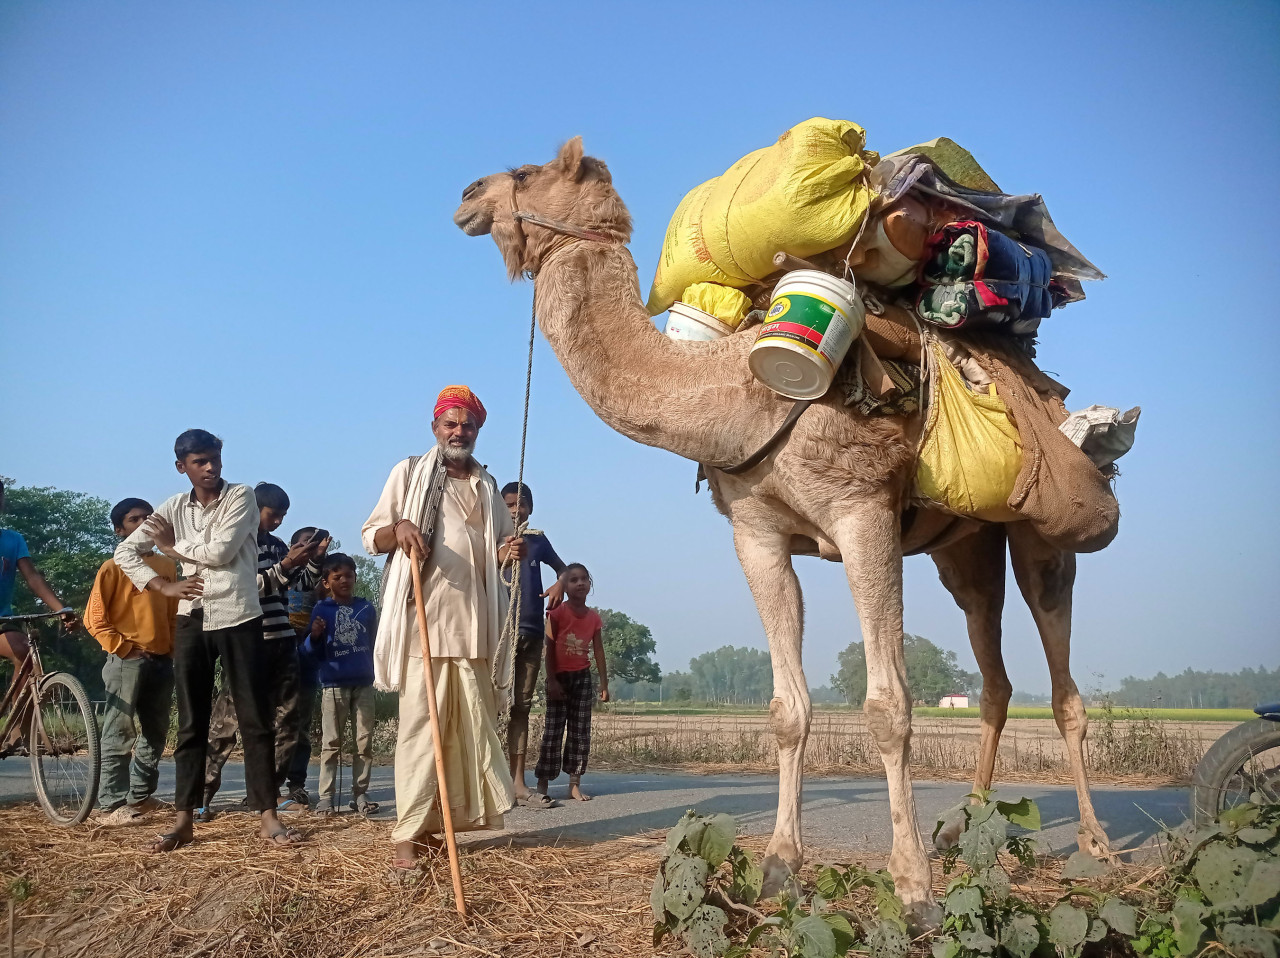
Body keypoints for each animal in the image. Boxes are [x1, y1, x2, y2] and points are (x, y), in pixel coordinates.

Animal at [455, 138, 1116, 922]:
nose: (467, 194)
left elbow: (888, 705)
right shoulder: (758, 535)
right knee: (995, 675)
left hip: (1045, 527)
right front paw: (778, 868)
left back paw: (1095, 845)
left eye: (527, 174)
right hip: (966, 547)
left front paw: (914, 889)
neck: (740, 392)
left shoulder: (862, 512)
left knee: (1062, 677)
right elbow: (786, 709)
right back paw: (968, 831)